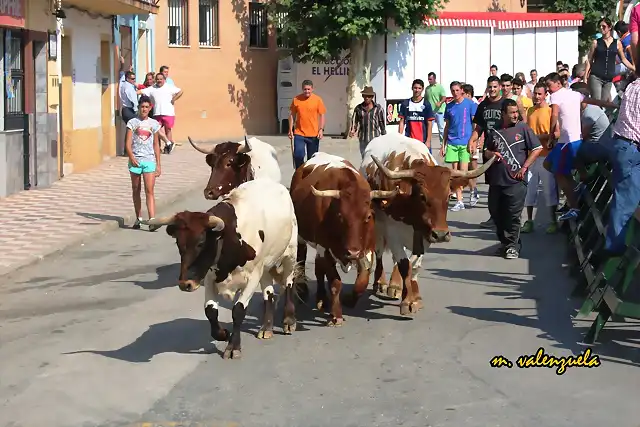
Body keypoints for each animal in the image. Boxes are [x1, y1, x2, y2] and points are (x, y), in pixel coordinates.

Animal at [144, 179, 298, 360]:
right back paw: (266, 328)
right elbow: (210, 310)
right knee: (269, 293)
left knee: (289, 283)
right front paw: (223, 334)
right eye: (178, 243)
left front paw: (233, 346)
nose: (185, 284)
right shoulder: (210, 277)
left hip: (290, 253)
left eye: (201, 243)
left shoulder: (252, 277)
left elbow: (238, 310)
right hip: (266, 265)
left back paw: (289, 321)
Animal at [360, 135, 496, 316]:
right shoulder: (393, 232)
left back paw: (395, 285)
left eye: (448, 195)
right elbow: (405, 265)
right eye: (422, 196)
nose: (441, 235)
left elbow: (414, 265)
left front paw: (415, 297)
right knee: (380, 251)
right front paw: (407, 301)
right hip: (379, 226)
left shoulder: (426, 234)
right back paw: (380, 282)